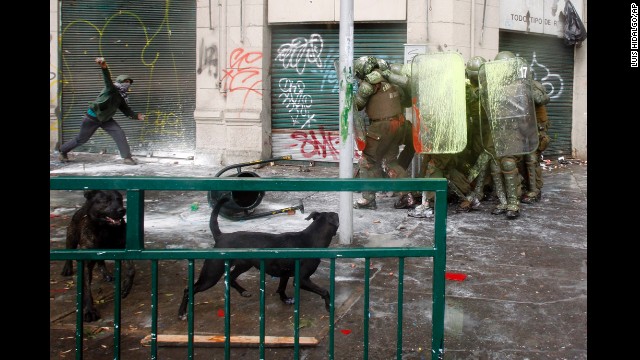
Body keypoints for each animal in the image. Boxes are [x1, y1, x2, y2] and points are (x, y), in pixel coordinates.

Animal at [60, 190, 135, 322]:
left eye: (119, 199)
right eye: (106, 201)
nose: (122, 210)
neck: (105, 229)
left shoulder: (123, 248)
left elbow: (131, 269)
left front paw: (126, 286)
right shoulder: (85, 261)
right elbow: (86, 288)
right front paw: (89, 310)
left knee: (101, 262)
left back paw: (106, 274)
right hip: (72, 236)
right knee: (69, 250)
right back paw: (67, 268)